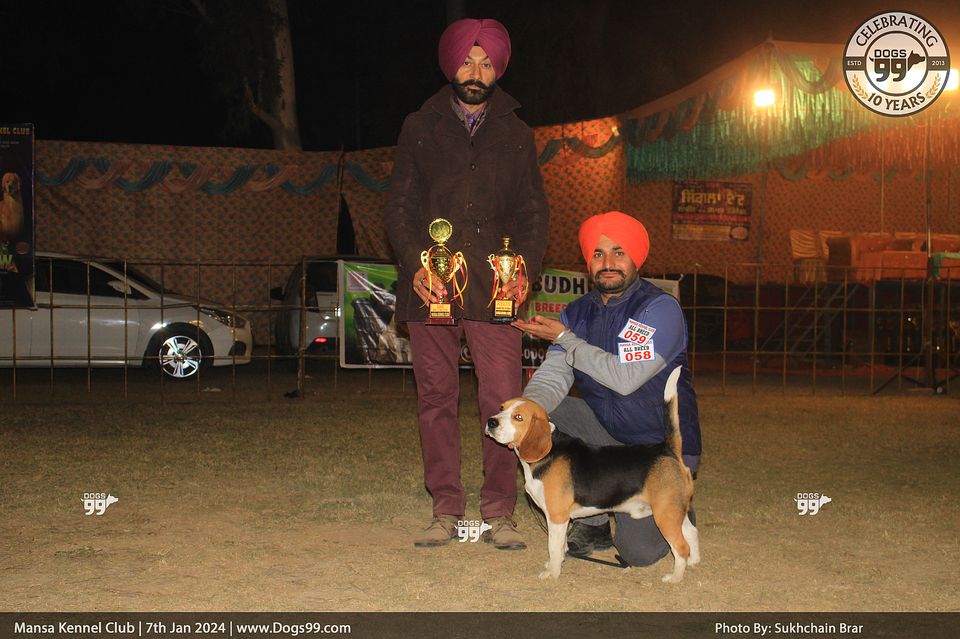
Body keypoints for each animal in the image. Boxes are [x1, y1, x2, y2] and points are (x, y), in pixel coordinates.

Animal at [485, 366, 699, 583]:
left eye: (518, 417)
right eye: (501, 408)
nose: (491, 422)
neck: (548, 451)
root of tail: (667, 449)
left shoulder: (557, 517)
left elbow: (553, 546)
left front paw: (552, 572)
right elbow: (561, 546)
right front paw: (556, 563)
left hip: (665, 514)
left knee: (681, 547)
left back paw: (675, 577)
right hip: (674, 511)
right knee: (692, 532)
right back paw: (694, 562)